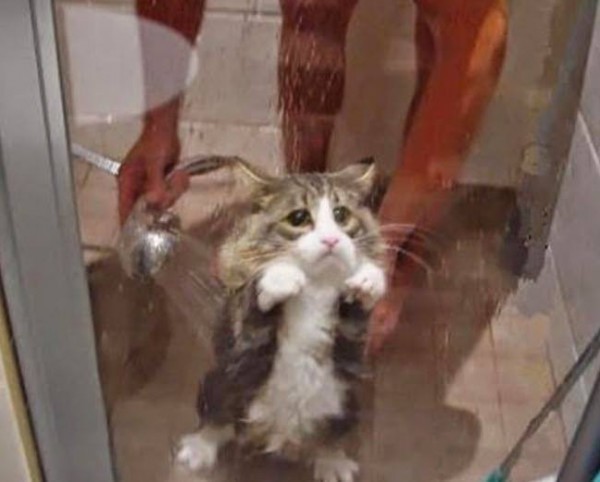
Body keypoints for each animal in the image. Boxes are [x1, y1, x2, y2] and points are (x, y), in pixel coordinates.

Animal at [176, 158, 386, 482]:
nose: (331, 239)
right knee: (217, 420)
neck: (315, 287)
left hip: (348, 402)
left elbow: (355, 317)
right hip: (216, 382)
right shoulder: (243, 349)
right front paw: (280, 276)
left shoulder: (351, 347)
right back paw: (199, 448)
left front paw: (368, 278)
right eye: (298, 218)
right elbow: (254, 308)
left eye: (341, 215)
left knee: (330, 437)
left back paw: (332, 461)